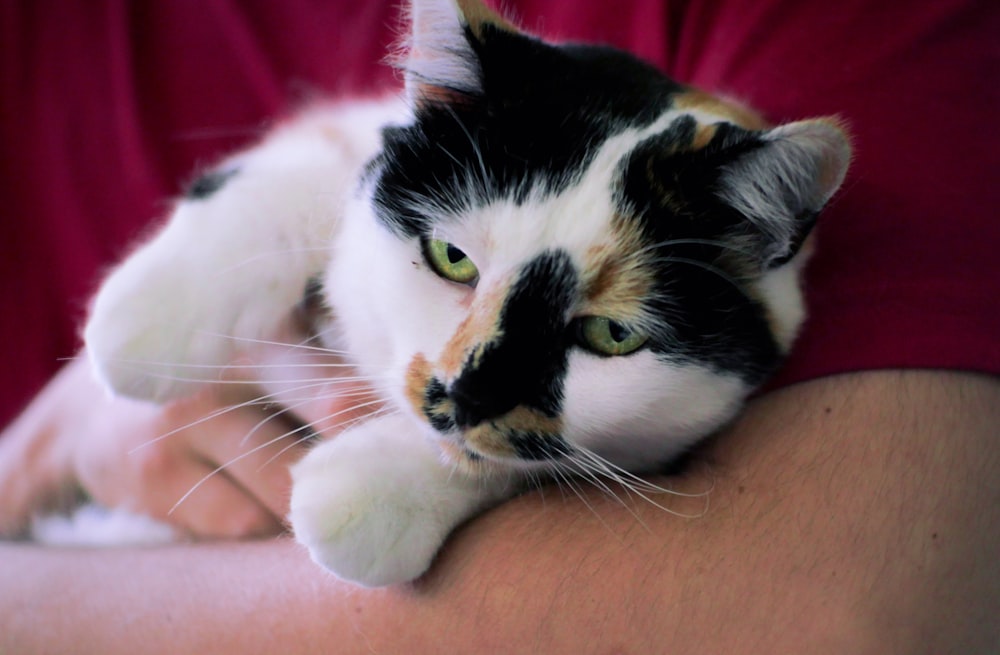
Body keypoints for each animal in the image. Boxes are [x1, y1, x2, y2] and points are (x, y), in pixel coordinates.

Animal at [84, 0, 852, 588]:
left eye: (612, 335)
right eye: (451, 258)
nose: (466, 395)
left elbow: (526, 464)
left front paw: (370, 496)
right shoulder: (363, 130)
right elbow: (306, 168)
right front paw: (144, 321)